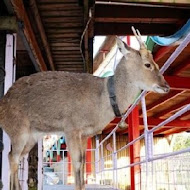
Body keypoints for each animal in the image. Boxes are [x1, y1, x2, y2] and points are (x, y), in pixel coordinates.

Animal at [0, 26, 169, 190]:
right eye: (148, 64)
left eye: (156, 64)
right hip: (18, 129)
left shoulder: (85, 134)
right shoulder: (71, 127)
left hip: (31, 136)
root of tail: (2, 106)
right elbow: (77, 163)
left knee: (15, 156)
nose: (165, 86)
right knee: (13, 157)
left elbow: (82, 165)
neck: (102, 102)